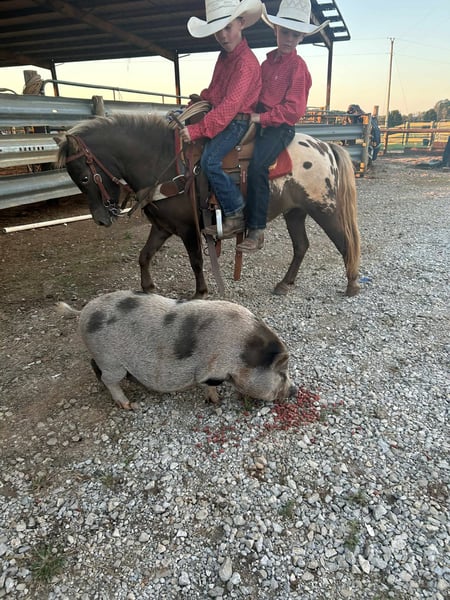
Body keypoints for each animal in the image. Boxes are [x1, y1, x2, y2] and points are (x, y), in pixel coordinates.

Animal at [55, 113, 360, 298]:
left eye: (84, 176)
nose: (101, 218)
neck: (165, 164)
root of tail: (327, 147)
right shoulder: (163, 227)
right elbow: (144, 255)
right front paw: (148, 287)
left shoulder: (188, 228)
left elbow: (196, 261)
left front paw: (200, 292)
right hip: (295, 212)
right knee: (301, 246)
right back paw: (285, 283)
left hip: (323, 209)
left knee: (345, 243)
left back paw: (352, 284)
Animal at [58, 290, 296, 409]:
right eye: (282, 373)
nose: (294, 390)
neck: (244, 354)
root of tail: (84, 312)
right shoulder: (211, 369)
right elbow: (208, 385)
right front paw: (216, 401)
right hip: (110, 359)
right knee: (109, 379)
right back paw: (128, 405)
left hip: (103, 357)